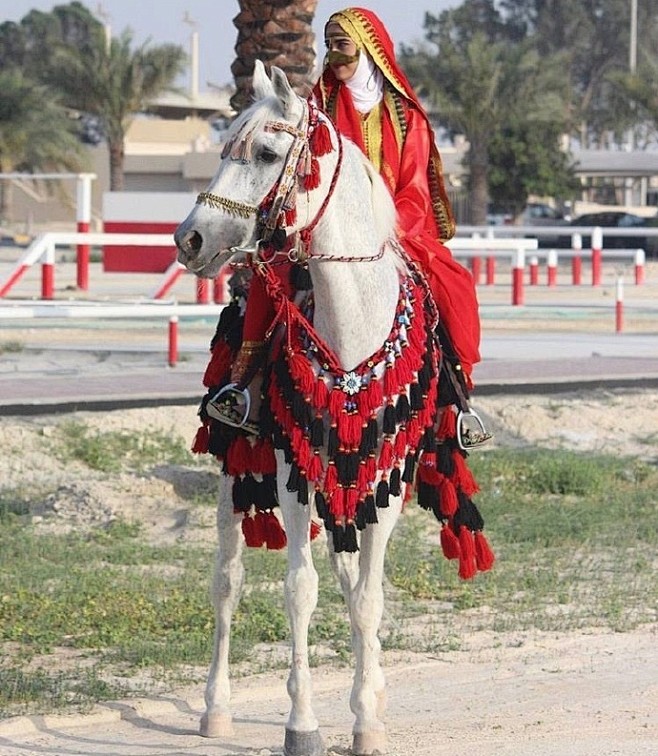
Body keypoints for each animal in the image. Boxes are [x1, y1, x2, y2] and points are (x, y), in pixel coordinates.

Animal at [174, 62, 486, 756]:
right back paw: (216, 707)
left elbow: (366, 597)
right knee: (226, 582)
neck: (352, 335)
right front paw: (303, 723)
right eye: (222, 147)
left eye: (266, 153)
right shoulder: (295, 472)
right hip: (236, 469)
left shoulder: (385, 480)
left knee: (348, 579)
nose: (191, 239)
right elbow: (299, 590)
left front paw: (367, 718)